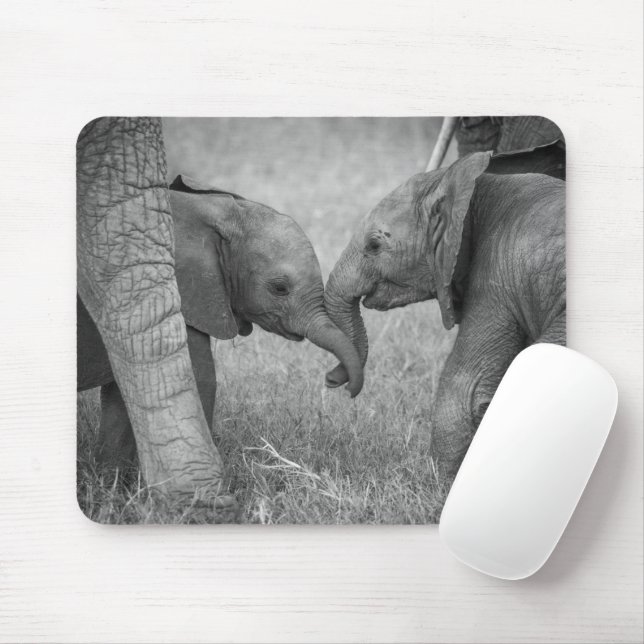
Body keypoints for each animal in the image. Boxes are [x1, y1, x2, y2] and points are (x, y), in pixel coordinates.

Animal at [78, 173, 363, 486]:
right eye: (280, 288)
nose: (333, 380)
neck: (216, 211)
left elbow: (121, 394)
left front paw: (112, 483)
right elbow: (199, 381)